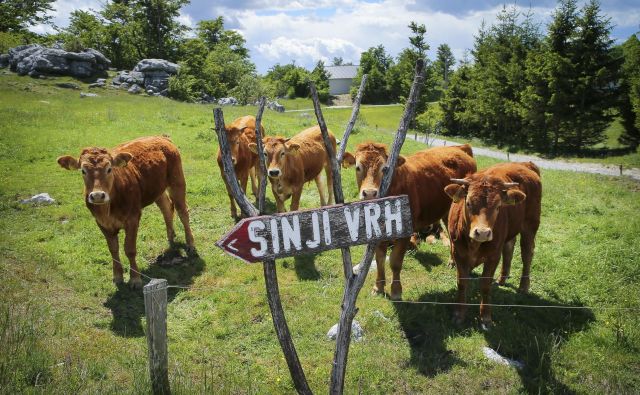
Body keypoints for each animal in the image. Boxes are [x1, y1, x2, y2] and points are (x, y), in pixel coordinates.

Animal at [58, 136, 194, 288]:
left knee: (183, 212)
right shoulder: (102, 223)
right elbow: (113, 250)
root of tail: (162, 137)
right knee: (166, 208)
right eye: (83, 171)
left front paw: (135, 279)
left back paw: (190, 244)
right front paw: (117, 277)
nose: (98, 195)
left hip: (177, 181)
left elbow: (130, 249)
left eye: (109, 169)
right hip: (157, 190)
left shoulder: (133, 218)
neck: (108, 209)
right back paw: (170, 237)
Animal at [344, 142, 476, 300]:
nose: (369, 193)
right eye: (358, 167)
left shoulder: (406, 232)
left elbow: (395, 261)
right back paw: (452, 261)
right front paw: (378, 287)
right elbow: (380, 259)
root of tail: (460, 148)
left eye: (384, 169)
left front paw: (396, 291)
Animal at [444, 161, 544, 328]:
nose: (483, 232)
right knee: (509, 249)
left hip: (530, 225)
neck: (474, 245)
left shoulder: (493, 256)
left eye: (498, 206)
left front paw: (485, 317)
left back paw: (523, 286)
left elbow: (485, 285)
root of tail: (525, 164)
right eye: (468, 203)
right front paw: (459, 314)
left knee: (527, 254)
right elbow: (462, 283)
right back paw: (502, 279)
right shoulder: (458, 253)